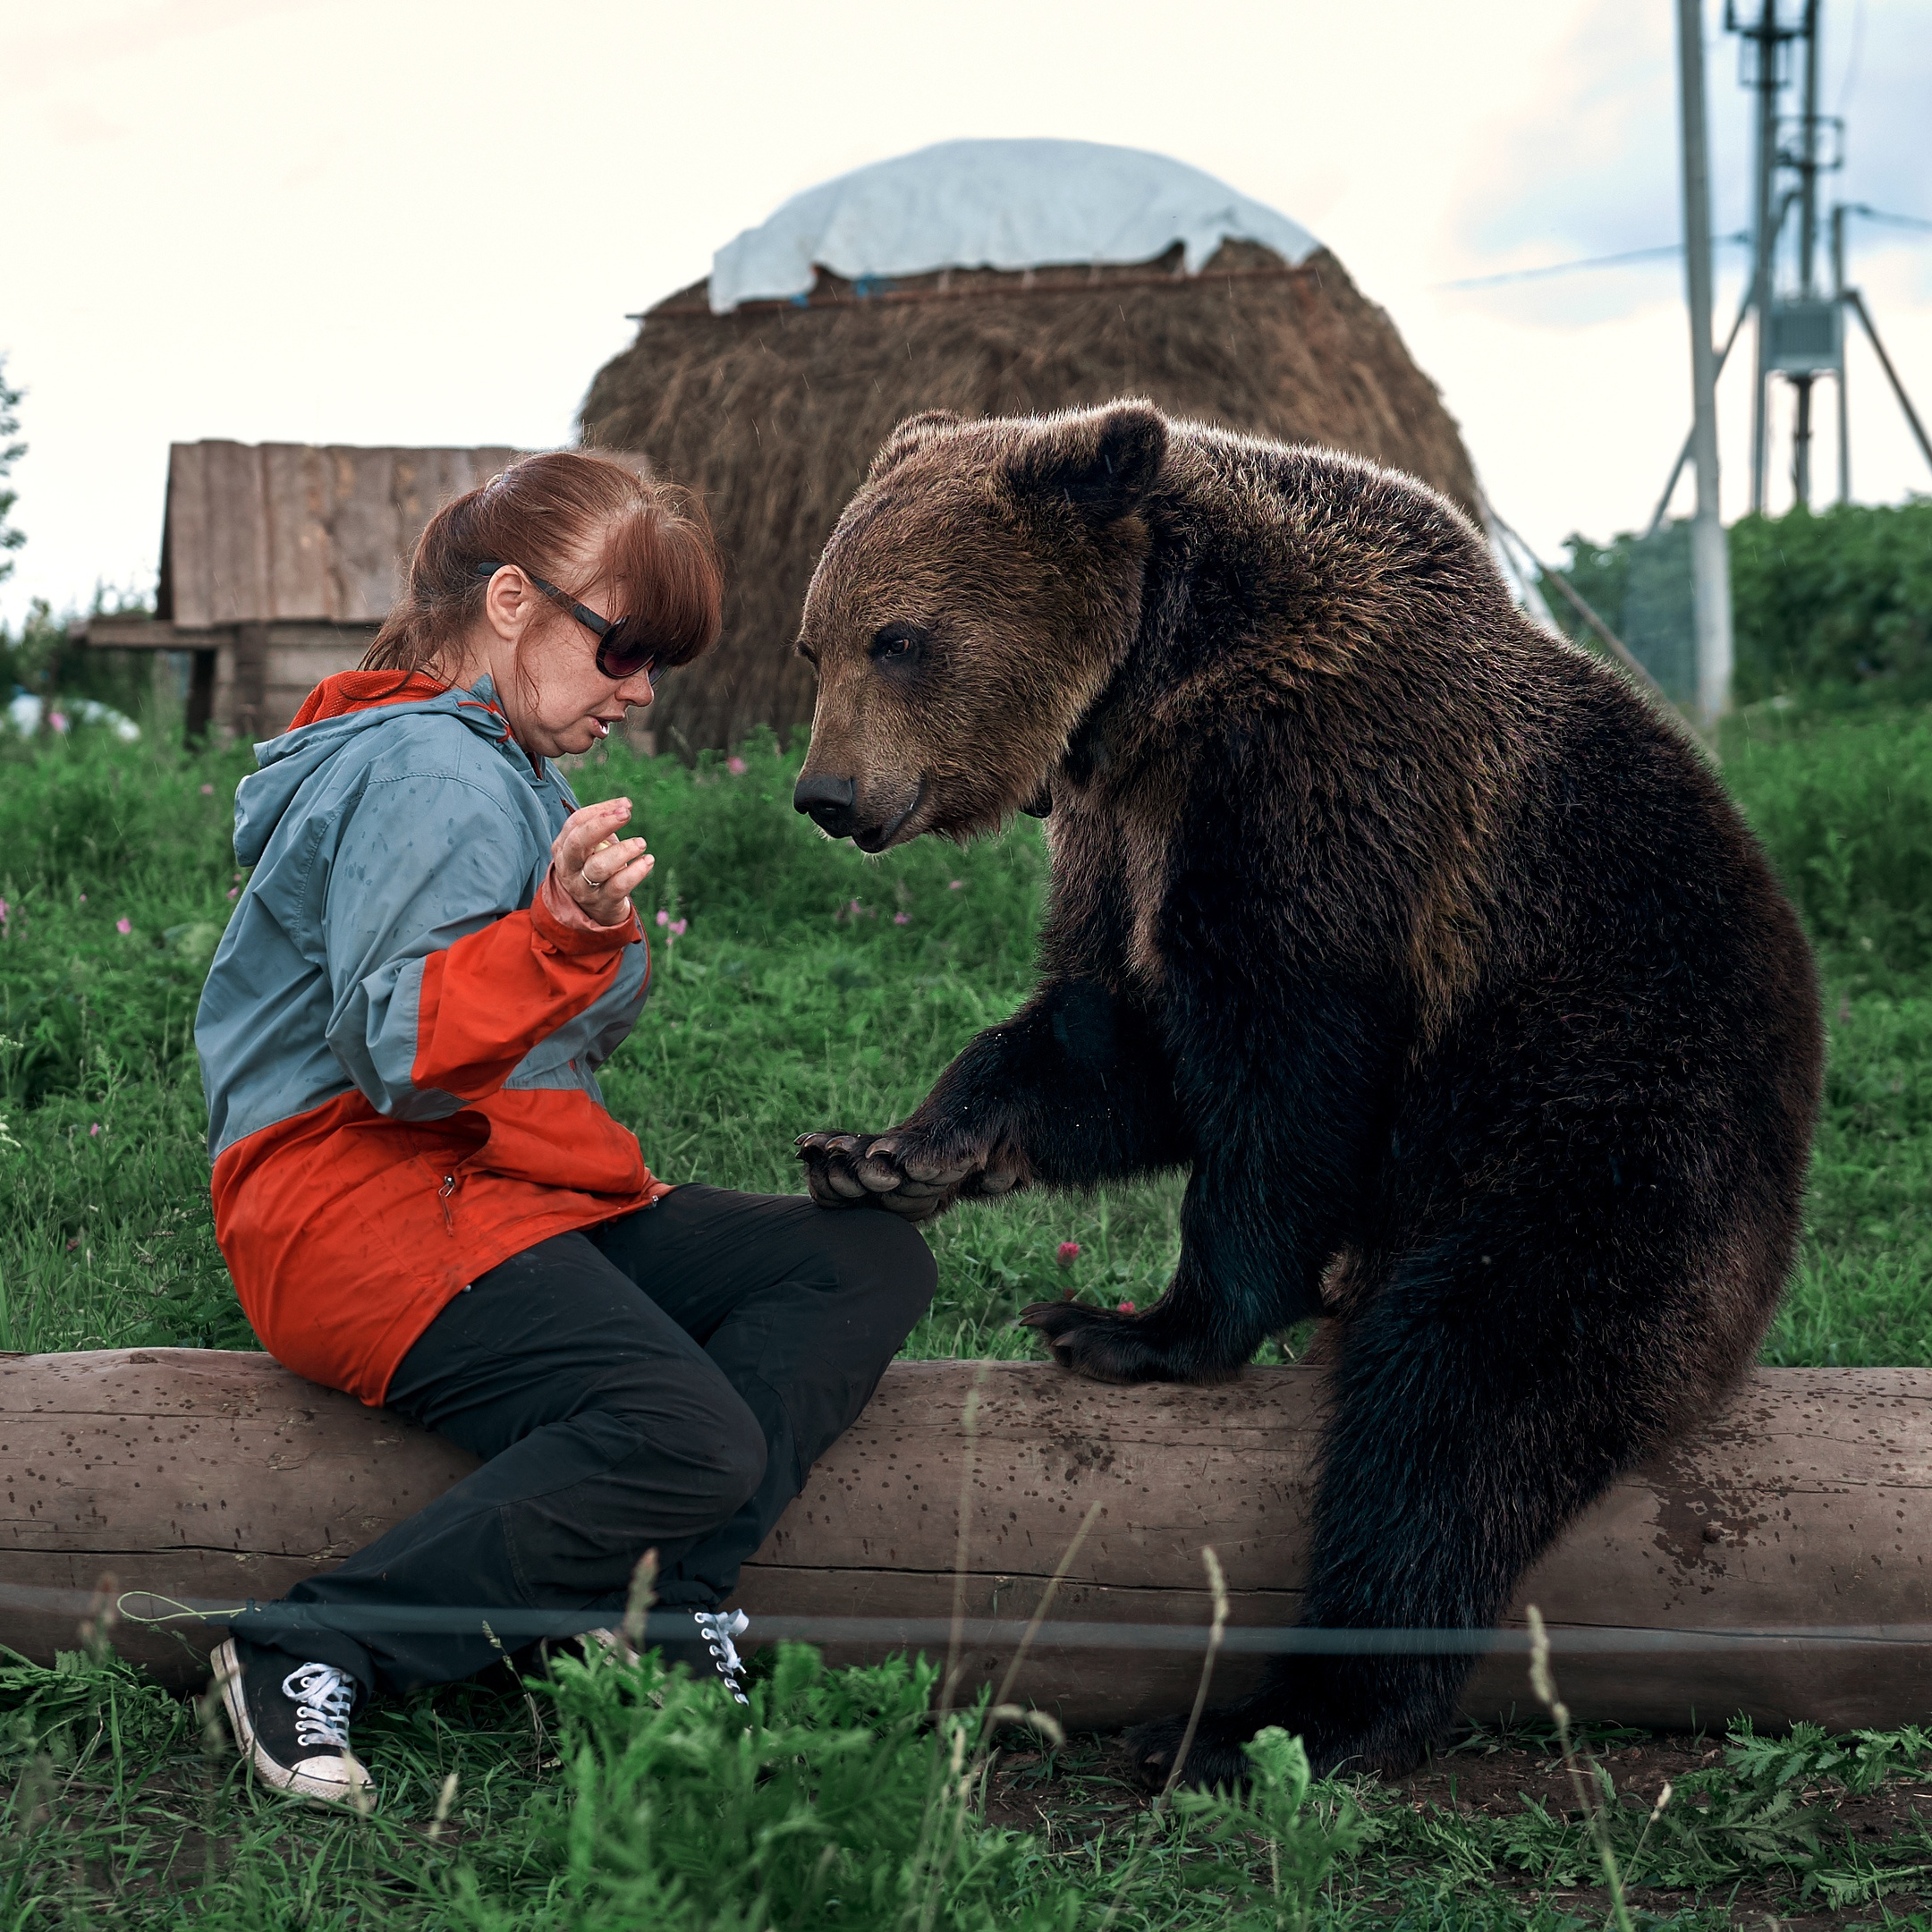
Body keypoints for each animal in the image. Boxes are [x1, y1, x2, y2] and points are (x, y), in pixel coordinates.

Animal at [784, 400, 1824, 1784]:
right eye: (817, 642)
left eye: (900, 640)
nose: (828, 796)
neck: (1157, 686)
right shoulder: (1130, 826)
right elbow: (1113, 1038)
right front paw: (889, 1154)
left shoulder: (1319, 792)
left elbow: (1286, 1071)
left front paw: (1137, 1327)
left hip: (1608, 1132)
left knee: (1460, 1394)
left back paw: (1268, 1720)